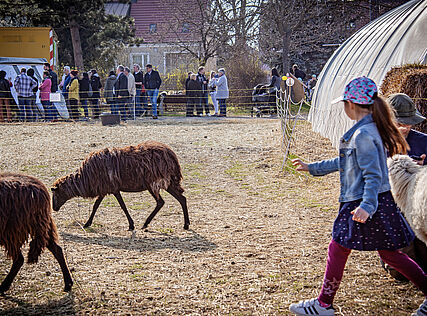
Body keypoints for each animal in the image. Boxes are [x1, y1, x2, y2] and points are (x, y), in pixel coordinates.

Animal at [51, 142, 190, 231]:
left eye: (56, 193)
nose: (54, 208)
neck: (84, 179)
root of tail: (172, 156)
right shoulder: (104, 190)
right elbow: (96, 206)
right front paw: (87, 223)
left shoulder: (113, 189)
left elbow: (122, 206)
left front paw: (131, 225)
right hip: (168, 182)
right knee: (182, 199)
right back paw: (186, 224)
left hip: (153, 183)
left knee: (161, 202)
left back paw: (145, 224)